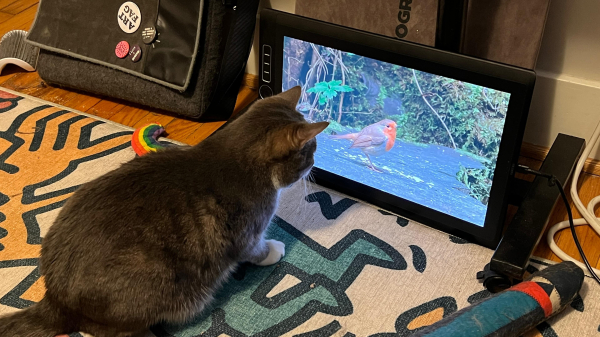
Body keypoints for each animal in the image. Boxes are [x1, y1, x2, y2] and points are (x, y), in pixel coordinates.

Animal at [0, 87, 328, 336]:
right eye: (310, 150)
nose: (315, 164)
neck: (238, 159)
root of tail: (55, 299)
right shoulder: (247, 232)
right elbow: (256, 250)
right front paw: (274, 250)